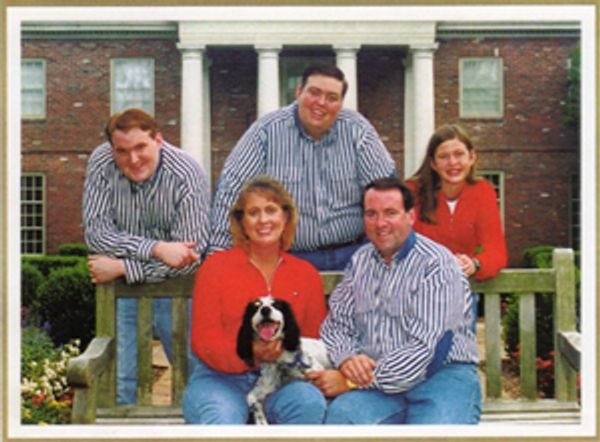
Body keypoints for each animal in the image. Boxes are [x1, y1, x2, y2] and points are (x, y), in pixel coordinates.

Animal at [236, 295, 331, 425]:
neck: (281, 362)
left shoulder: (316, 373)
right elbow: (254, 403)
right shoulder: (259, 390)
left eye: (276, 305)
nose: (265, 310)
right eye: (256, 306)